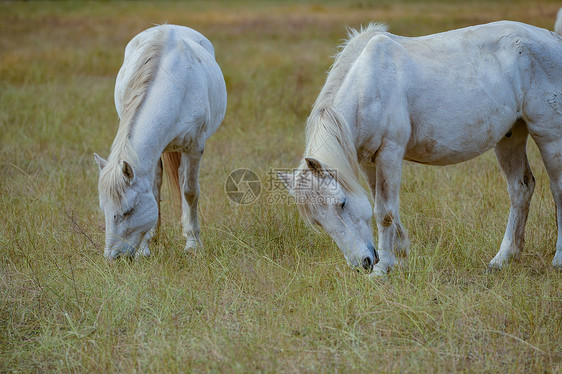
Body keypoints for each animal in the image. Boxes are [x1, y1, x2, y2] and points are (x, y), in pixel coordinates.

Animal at [94, 24, 225, 260]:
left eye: (128, 211)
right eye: (104, 210)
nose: (112, 259)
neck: (176, 86)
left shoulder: (195, 148)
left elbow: (190, 191)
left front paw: (193, 245)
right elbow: (154, 192)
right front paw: (145, 248)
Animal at [278, 21, 560, 276]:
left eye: (342, 203)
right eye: (318, 221)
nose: (363, 264)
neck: (368, 85)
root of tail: (554, 39)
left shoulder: (389, 153)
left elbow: (384, 212)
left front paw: (383, 270)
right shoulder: (369, 162)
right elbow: (387, 207)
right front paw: (398, 258)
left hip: (549, 136)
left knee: (557, 190)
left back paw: (557, 260)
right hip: (510, 137)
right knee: (521, 189)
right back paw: (502, 259)